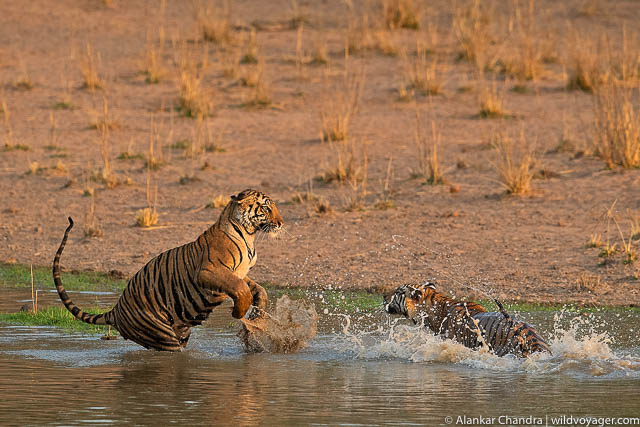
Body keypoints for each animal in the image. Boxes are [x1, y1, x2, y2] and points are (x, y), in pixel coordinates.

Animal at [53, 188, 284, 352]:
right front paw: (239, 313)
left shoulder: (241, 273)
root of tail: (116, 310)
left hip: (180, 331)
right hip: (161, 336)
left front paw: (258, 316)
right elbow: (240, 289)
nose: (281, 223)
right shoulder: (210, 271)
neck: (250, 235)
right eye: (266, 208)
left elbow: (259, 290)